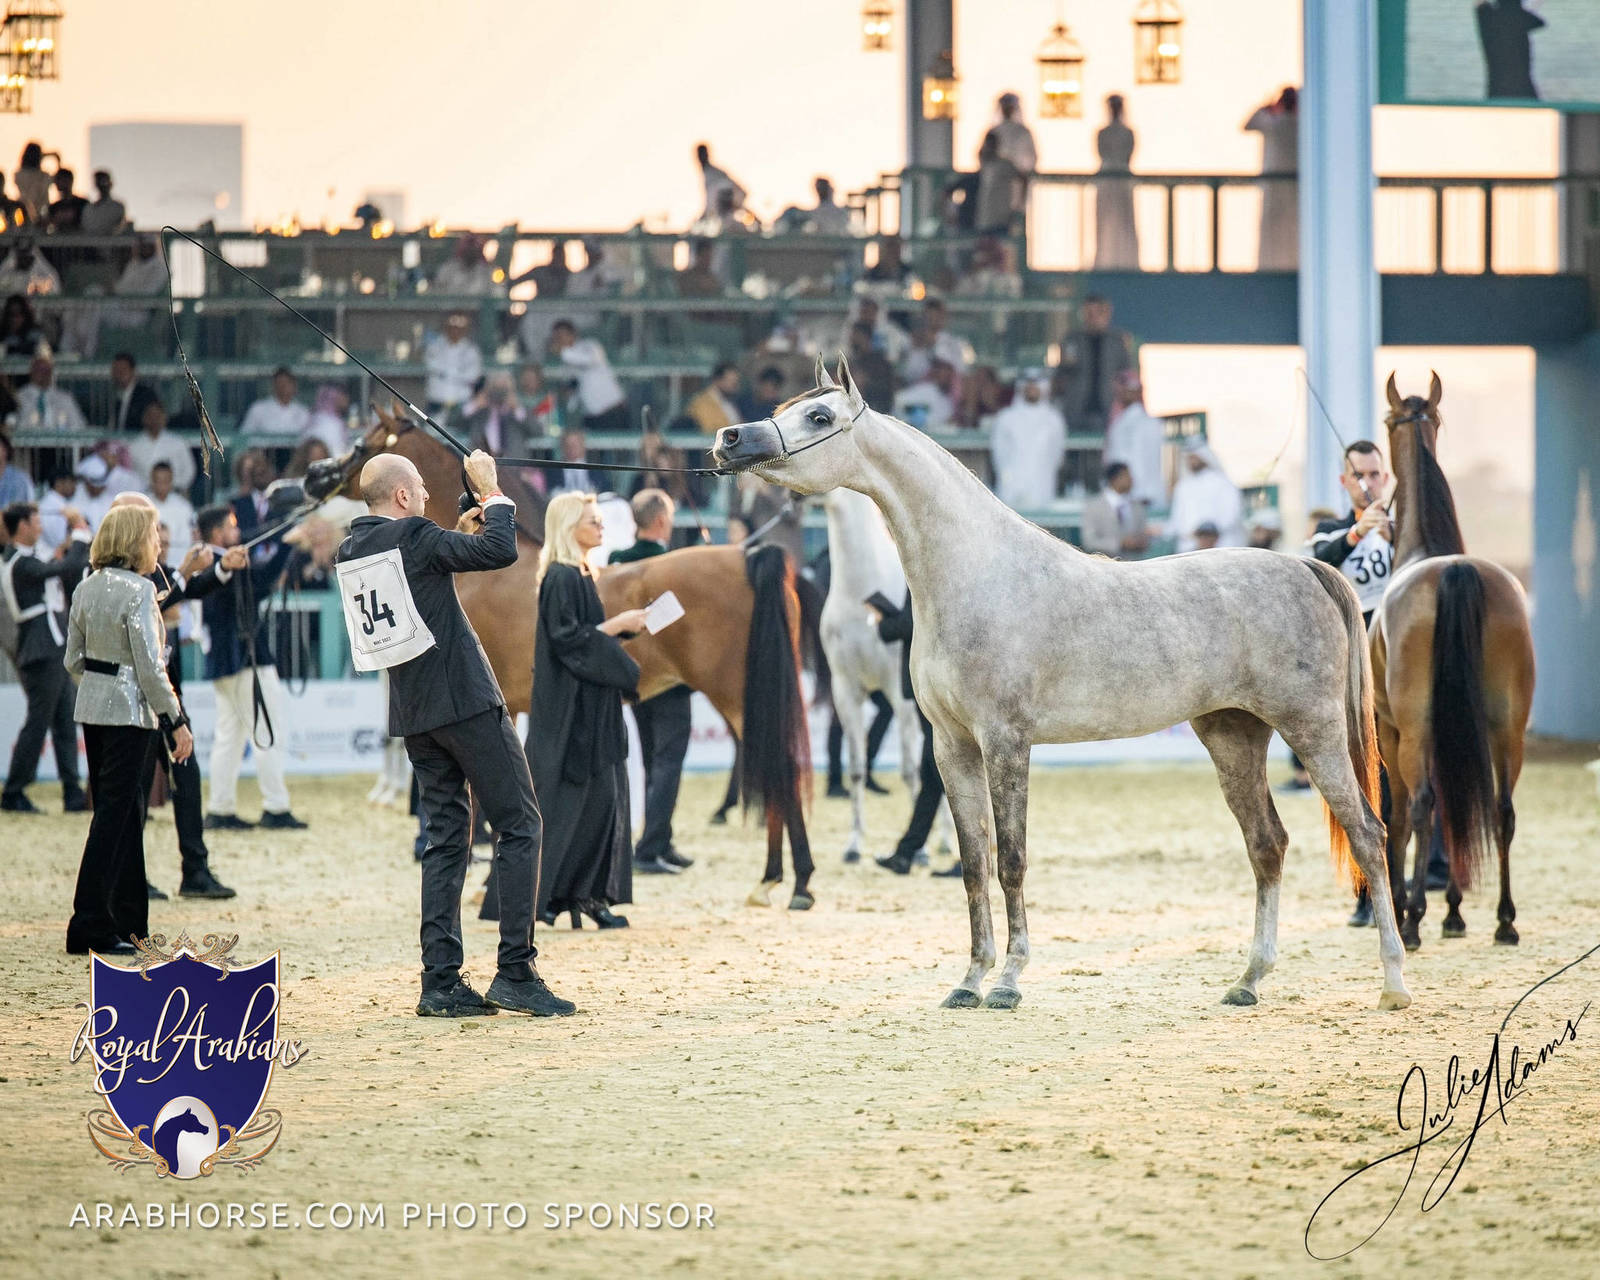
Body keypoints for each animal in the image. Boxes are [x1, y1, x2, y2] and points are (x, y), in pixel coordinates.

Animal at [318, 409, 818, 908]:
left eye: (361, 444)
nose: (312, 478)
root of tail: (750, 555)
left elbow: (485, 797)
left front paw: (485, 884)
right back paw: (781, 879)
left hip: (739, 696)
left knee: (781, 773)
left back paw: (788, 883)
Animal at [818, 487, 922, 860]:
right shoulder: (846, 692)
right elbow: (856, 770)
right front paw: (853, 845)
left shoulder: (899, 693)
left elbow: (910, 772)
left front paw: (919, 851)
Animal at [1372, 373, 1535, 950]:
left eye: (1388, 420)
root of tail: (1455, 571)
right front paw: (1457, 912)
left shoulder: (1390, 728)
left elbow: (1402, 816)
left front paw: (1410, 907)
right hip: (1507, 725)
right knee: (1503, 810)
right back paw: (1505, 919)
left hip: (1416, 727)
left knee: (1420, 804)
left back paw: (1413, 918)